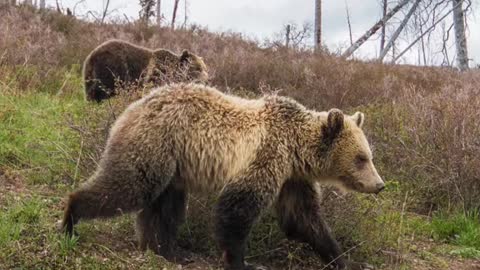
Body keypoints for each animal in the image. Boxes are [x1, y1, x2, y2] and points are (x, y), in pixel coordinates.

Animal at [60, 83, 384, 268]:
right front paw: (242, 262)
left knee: (165, 207)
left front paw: (342, 259)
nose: (379, 185)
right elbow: (238, 208)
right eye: (361, 158)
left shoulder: (293, 178)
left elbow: (303, 218)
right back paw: (71, 219)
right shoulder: (266, 156)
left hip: (174, 165)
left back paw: (167, 250)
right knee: (128, 186)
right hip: (155, 142)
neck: (296, 148)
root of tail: (132, 106)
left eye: (369, 155)